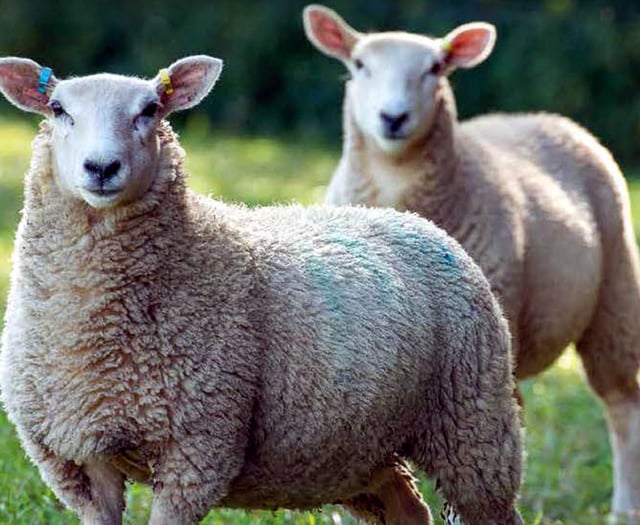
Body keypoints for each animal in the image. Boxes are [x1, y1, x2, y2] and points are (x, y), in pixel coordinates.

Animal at [0, 56, 523, 525]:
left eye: (150, 109)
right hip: (356, 452)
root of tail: (415, 221)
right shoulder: (78, 459)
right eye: (58, 109)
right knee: (407, 508)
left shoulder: (198, 448)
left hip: (472, 421)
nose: (102, 167)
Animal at [303, 4, 640, 522]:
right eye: (359, 65)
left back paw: (623, 506)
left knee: (620, 403)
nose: (393, 117)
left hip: (610, 296)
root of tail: (546, 117)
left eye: (436, 68)